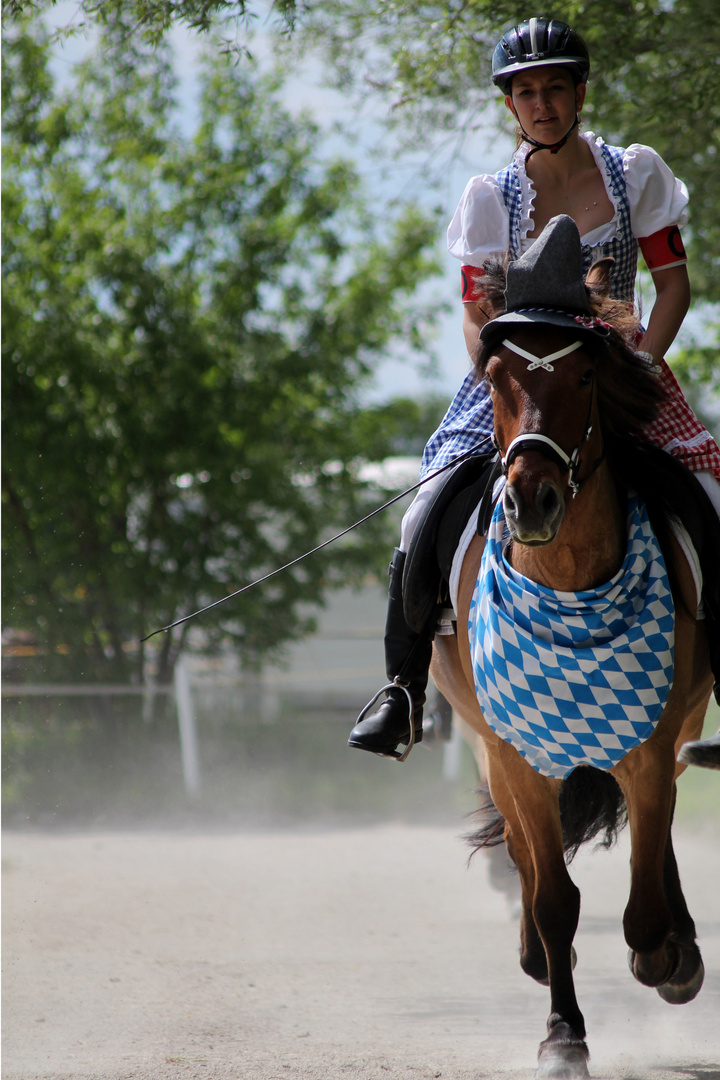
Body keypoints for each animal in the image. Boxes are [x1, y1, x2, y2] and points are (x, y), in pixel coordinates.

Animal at [431, 214, 712, 1075]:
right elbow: (555, 899)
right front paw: (563, 1034)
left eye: (585, 377)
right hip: (494, 746)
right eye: (494, 378)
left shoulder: (650, 744)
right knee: (527, 856)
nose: (533, 500)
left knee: (658, 841)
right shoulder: (515, 755)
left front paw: (668, 957)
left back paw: (681, 947)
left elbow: (645, 901)